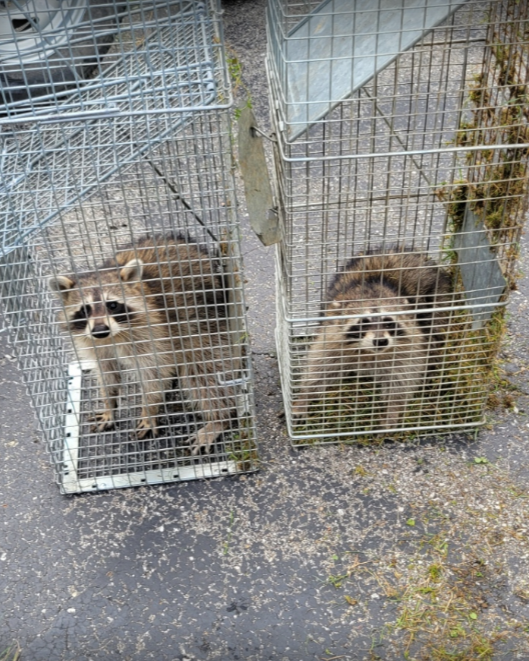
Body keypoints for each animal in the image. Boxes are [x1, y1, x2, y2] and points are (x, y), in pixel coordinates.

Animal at [50, 233, 237, 454]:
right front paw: (109, 404)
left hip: (207, 326)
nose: (100, 330)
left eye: (112, 305)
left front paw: (149, 409)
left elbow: (154, 375)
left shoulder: (153, 334)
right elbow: (107, 373)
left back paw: (220, 419)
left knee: (202, 374)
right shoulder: (93, 343)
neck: (113, 336)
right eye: (85, 309)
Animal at [290, 245, 452, 426]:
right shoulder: (331, 336)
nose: (380, 341)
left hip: (439, 301)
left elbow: (402, 378)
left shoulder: (408, 344)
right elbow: (320, 367)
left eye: (388, 323)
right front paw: (305, 396)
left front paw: (392, 411)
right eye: (363, 323)